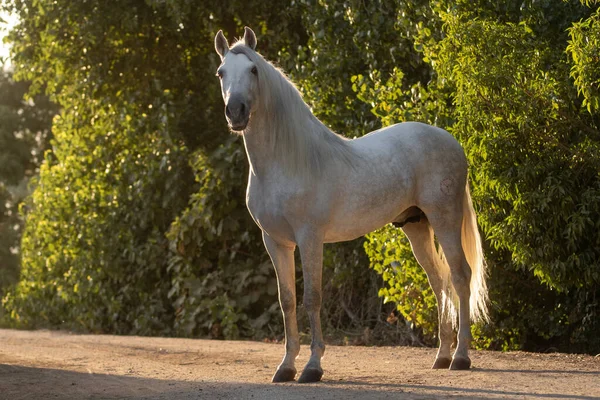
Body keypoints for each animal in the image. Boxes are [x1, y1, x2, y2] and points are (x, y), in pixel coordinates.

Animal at [214, 26, 488, 382]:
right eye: (221, 73)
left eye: (253, 70)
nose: (236, 112)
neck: (287, 160)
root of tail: (451, 140)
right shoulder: (275, 241)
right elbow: (287, 300)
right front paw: (286, 367)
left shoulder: (310, 238)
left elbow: (312, 298)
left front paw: (313, 367)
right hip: (416, 226)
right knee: (438, 280)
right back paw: (441, 356)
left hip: (445, 218)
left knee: (459, 276)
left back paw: (461, 357)